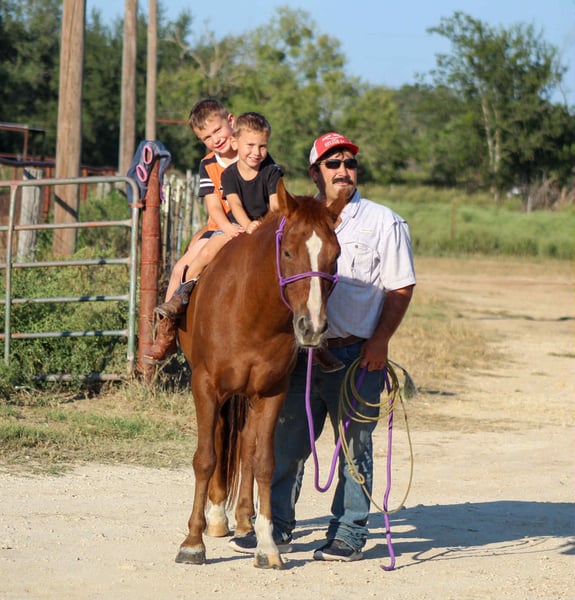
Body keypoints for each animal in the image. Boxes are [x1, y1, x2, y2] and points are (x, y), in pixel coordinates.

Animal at [174, 181, 340, 569]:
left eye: (336, 255)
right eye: (289, 252)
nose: (312, 327)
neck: (248, 307)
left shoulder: (271, 392)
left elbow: (263, 461)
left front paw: (267, 545)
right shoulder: (205, 386)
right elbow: (205, 458)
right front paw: (192, 543)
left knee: (246, 447)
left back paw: (242, 521)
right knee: (220, 439)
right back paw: (215, 518)